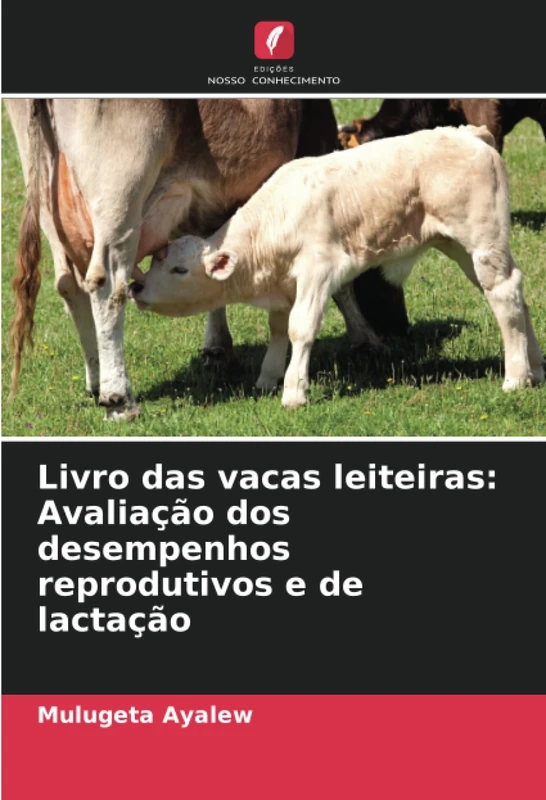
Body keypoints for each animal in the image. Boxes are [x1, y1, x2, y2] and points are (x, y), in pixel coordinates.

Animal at [5, 99, 409, 420]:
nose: (400, 324)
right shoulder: (314, 144)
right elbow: (341, 284)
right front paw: (366, 338)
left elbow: (214, 257)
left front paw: (216, 345)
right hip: (119, 195)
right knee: (107, 287)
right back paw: (118, 397)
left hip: (46, 196)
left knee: (68, 285)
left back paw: (94, 380)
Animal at [129, 125, 544, 409]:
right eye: (155, 260)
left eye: (179, 270)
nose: (136, 287)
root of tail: (468, 133)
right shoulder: (285, 286)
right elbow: (278, 329)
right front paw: (267, 378)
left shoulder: (319, 269)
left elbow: (300, 328)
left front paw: (294, 392)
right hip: (462, 248)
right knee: (515, 295)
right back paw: (535, 369)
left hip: (481, 242)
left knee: (504, 296)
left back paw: (515, 377)